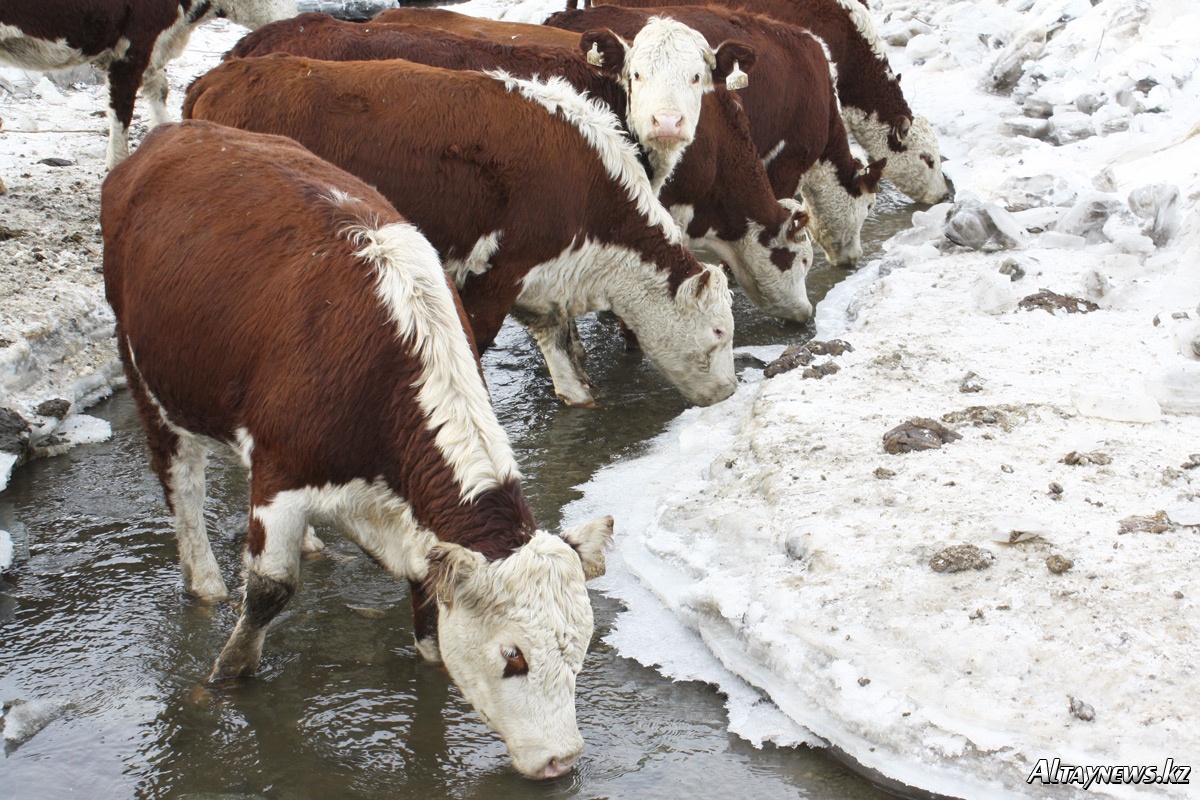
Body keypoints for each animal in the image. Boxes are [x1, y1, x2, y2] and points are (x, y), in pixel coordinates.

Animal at [0, 0, 295, 168]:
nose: (293, 17)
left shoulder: (155, 48)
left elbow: (159, 92)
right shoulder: (132, 49)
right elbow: (121, 112)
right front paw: (116, 166)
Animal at [101, 119, 615, 780]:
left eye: (581, 649)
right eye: (513, 656)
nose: (562, 759)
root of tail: (173, 134)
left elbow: (426, 601)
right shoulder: (282, 471)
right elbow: (269, 590)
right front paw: (227, 674)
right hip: (150, 377)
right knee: (182, 485)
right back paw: (207, 582)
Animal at [185, 57, 737, 407]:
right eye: (718, 331)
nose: (730, 391)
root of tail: (218, 77)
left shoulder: (540, 291)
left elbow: (569, 376)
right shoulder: (493, 281)